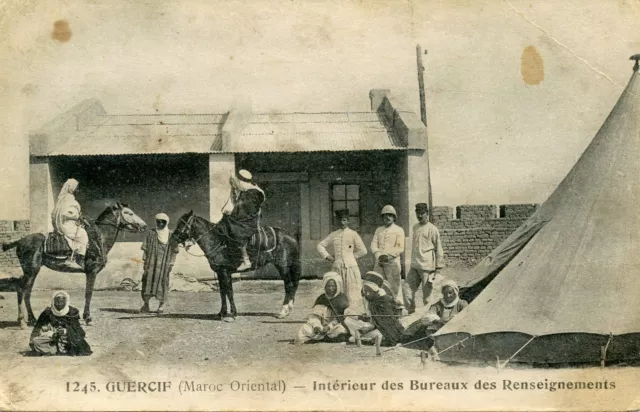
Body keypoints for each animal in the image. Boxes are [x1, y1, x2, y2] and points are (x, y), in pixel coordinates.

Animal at [0, 203, 146, 328]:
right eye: (128, 213)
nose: (144, 226)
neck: (98, 239)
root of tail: (20, 241)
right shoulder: (91, 272)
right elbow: (88, 294)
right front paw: (88, 318)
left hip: (32, 272)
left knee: (27, 292)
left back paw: (32, 319)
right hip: (31, 271)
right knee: (20, 289)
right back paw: (22, 321)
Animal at [170, 212, 300, 322]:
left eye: (182, 223)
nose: (172, 238)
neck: (218, 241)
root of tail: (290, 236)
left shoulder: (224, 272)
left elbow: (229, 292)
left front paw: (232, 314)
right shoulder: (220, 273)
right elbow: (223, 292)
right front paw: (222, 313)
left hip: (282, 266)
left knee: (289, 285)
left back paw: (283, 312)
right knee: (292, 285)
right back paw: (288, 309)